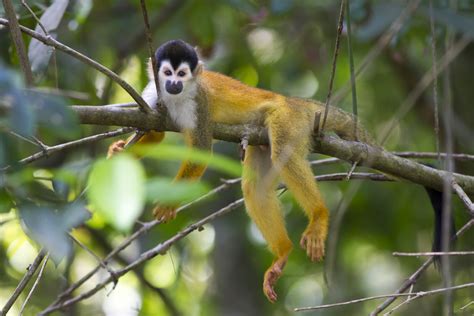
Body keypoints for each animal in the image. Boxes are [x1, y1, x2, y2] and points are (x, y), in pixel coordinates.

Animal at [109, 39, 372, 302]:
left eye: (182, 74)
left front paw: (168, 203)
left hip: (287, 119)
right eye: (167, 73)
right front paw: (119, 152)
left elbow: (201, 150)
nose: (174, 84)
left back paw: (318, 215)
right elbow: (156, 133)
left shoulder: (199, 101)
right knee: (255, 188)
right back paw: (283, 253)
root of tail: (293, 101)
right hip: (261, 138)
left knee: (283, 155)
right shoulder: (153, 94)